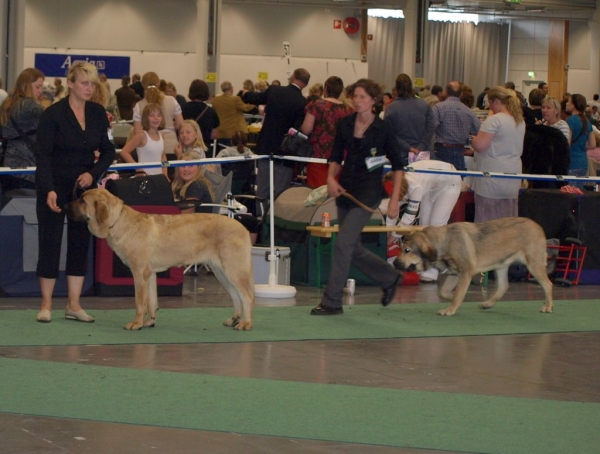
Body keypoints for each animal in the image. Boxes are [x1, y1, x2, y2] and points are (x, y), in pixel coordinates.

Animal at [67, 188, 254, 330]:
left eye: (82, 201)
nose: (65, 206)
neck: (118, 221)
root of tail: (243, 228)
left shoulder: (139, 273)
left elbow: (140, 302)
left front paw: (136, 324)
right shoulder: (149, 274)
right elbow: (151, 301)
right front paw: (149, 322)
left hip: (233, 269)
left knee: (247, 296)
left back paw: (245, 323)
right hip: (220, 271)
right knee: (236, 296)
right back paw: (234, 319)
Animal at [394, 218, 552, 318]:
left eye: (407, 250)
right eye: (401, 249)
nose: (394, 263)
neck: (443, 242)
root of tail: (538, 226)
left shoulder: (466, 271)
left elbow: (458, 294)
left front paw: (450, 309)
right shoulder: (455, 274)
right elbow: (445, 292)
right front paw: (454, 298)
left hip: (534, 264)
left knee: (548, 284)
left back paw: (548, 306)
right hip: (501, 265)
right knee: (503, 286)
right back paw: (487, 304)